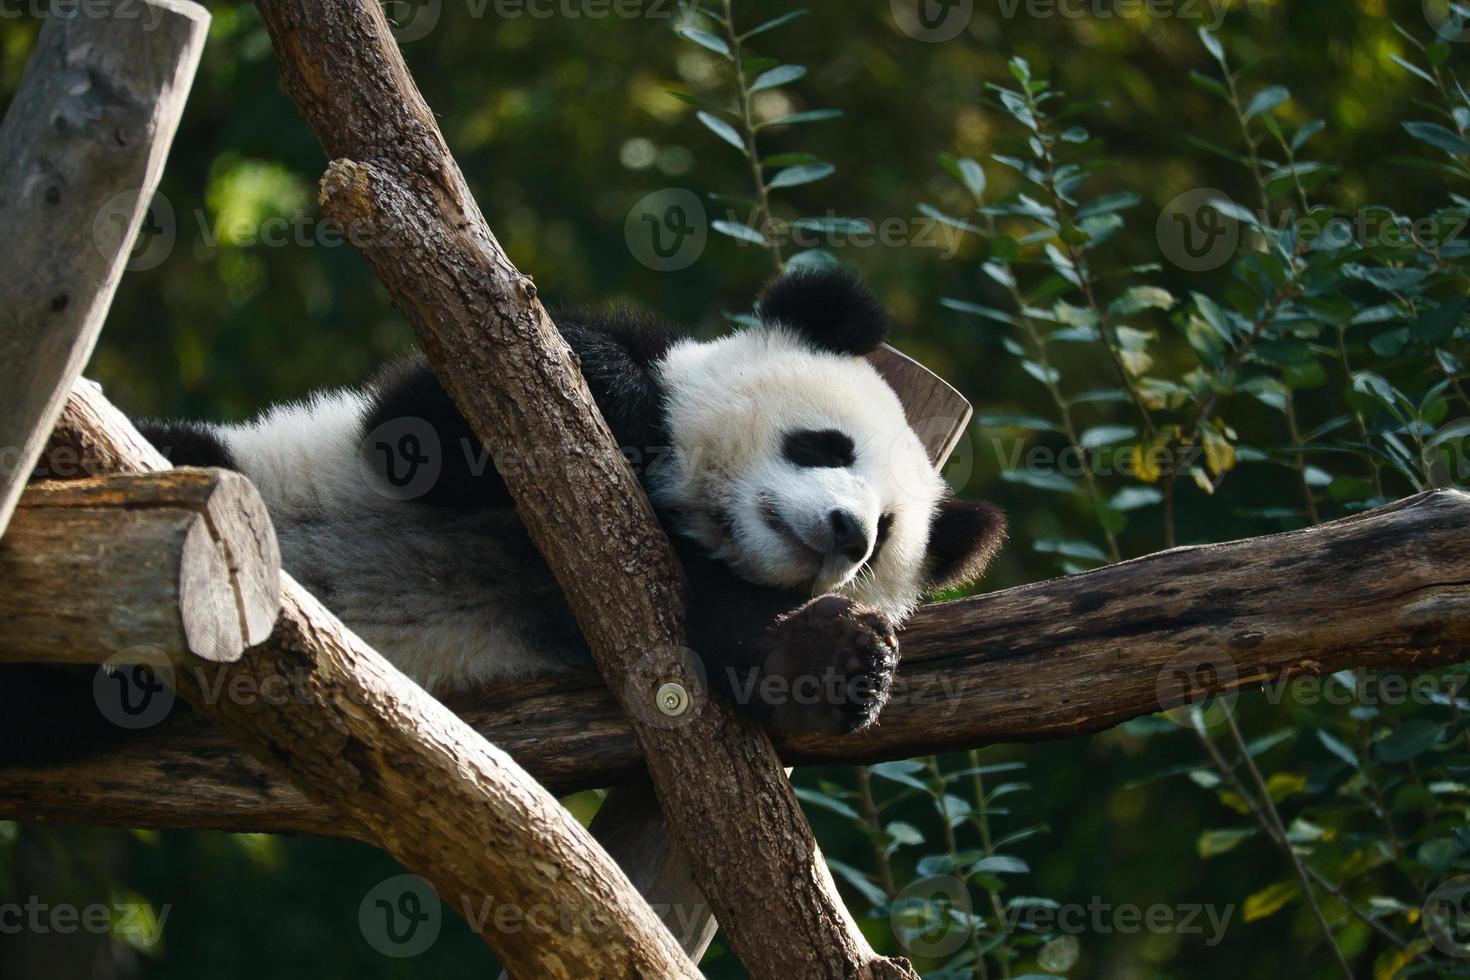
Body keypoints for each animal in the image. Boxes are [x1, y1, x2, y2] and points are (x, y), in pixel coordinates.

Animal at [135, 268, 999, 734]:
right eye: (826, 445)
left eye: (886, 531)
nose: (848, 533)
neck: (686, 521)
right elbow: (422, 432)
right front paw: (627, 406)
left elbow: (727, 643)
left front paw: (836, 659)